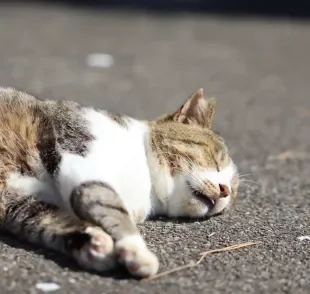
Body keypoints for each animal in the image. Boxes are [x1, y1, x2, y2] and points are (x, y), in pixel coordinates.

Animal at [0, 86, 239, 278]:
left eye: (233, 191)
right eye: (215, 159)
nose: (225, 190)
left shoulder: (19, 203)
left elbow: (48, 221)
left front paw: (92, 244)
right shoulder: (80, 155)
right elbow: (111, 207)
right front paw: (137, 251)